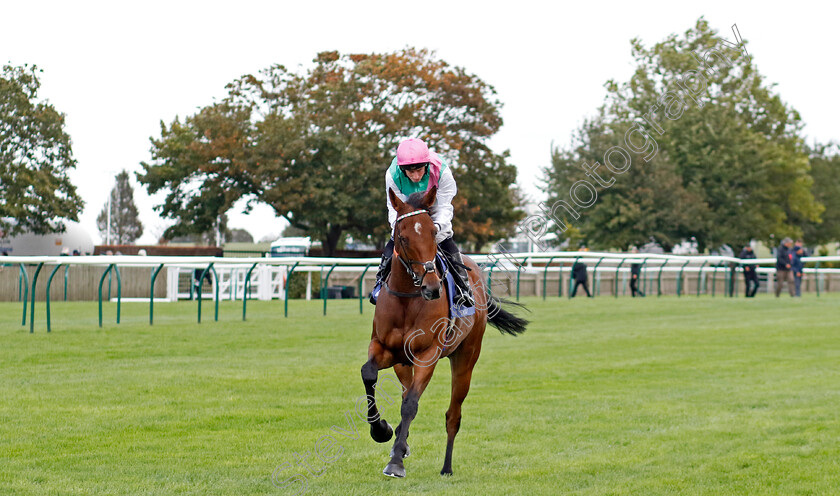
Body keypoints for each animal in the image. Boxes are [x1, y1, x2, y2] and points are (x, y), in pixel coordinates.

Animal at [360, 185, 528, 476]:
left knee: (453, 414)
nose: (431, 287)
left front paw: (396, 462)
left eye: (432, 232)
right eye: (402, 237)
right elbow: (369, 374)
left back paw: (446, 467)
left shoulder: (428, 354)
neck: (407, 298)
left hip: (466, 358)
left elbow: (411, 404)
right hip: (402, 363)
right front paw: (382, 431)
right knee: (405, 390)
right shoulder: (384, 348)